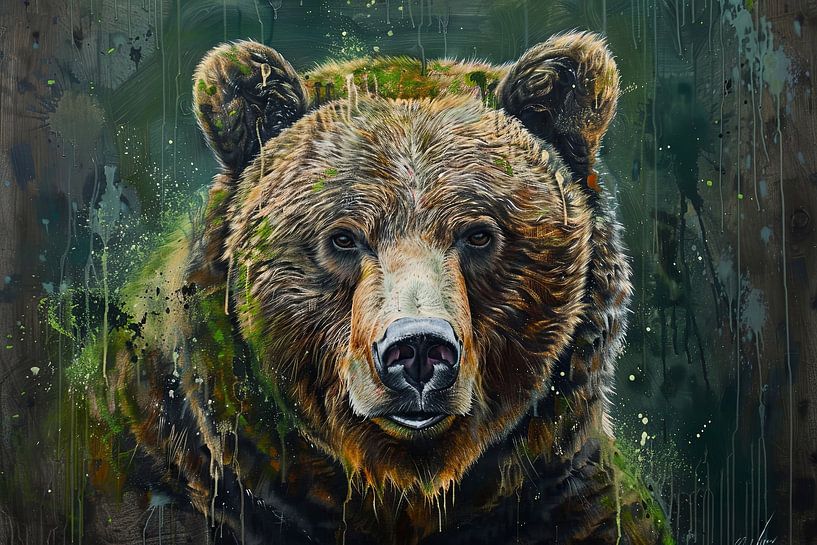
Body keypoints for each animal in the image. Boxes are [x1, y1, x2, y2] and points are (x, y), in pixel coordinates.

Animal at [78, 32, 672, 545]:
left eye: (479, 233)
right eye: (343, 237)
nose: (419, 350)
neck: (399, 489)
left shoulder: (563, 497)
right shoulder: (178, 480)